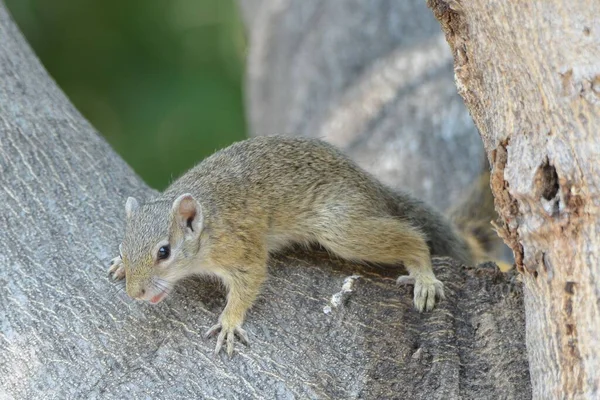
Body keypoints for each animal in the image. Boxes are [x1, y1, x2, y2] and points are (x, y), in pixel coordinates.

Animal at [108, 135, 496, 356]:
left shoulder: (241, 247)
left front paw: (230, 322)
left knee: (412, 237)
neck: (208, 222)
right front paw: (118, 265)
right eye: (125, 246)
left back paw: (423, 274)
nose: (136, 293)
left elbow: (250, 281)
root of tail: (370, 185)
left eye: (164, 252)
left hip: (340, 227)